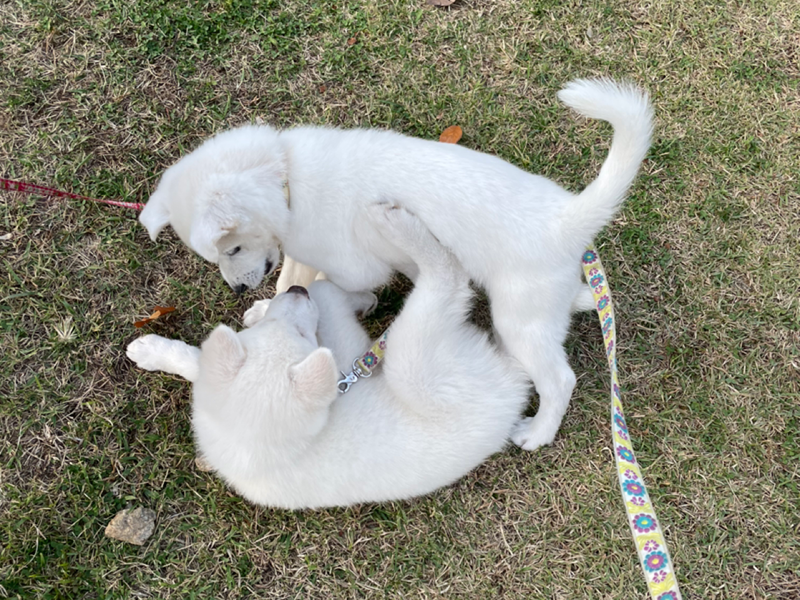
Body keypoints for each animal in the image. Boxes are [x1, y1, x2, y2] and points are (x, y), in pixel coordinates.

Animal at [128, 207, 532, 510]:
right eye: (302, 335)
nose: (295, 289)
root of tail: (511, 387)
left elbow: (200, 360)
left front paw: (152, 349)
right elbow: (326, 292)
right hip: (416, 367)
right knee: (446, 277)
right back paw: (397, 225)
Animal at [138, 77, 648, 450]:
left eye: (231, 250)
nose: (238, 290)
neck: (287, 178)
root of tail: (568, 219)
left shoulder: (354, 266)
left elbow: (332, 287)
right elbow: (292, 283)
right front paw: (268, 310)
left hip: (519, 319)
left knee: (560, 378)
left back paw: (539, 432)